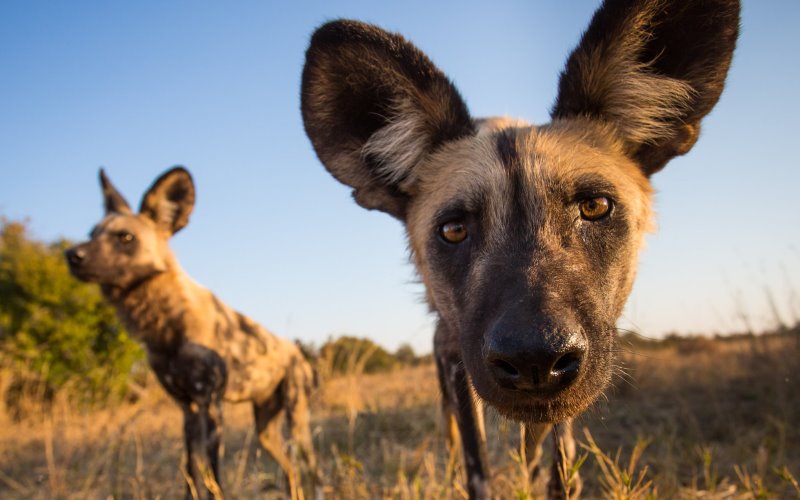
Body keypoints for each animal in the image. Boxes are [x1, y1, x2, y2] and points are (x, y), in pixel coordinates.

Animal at [65, 169, 318, 500]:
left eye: (125, 238)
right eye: (92, 233)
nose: (71, 254)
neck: (165, 325)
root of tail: (297, 351)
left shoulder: (210, 405)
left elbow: (213, 477)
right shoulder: (187, 409)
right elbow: (191, 472)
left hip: (296, 419)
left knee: (312, 468)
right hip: (265, 431)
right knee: (291, 470)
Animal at [304, 1, 740, 498]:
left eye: (595, 206)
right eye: (454, 229)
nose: (535, 358)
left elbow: (559, 464)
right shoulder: (457, 365)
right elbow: (477, 466)